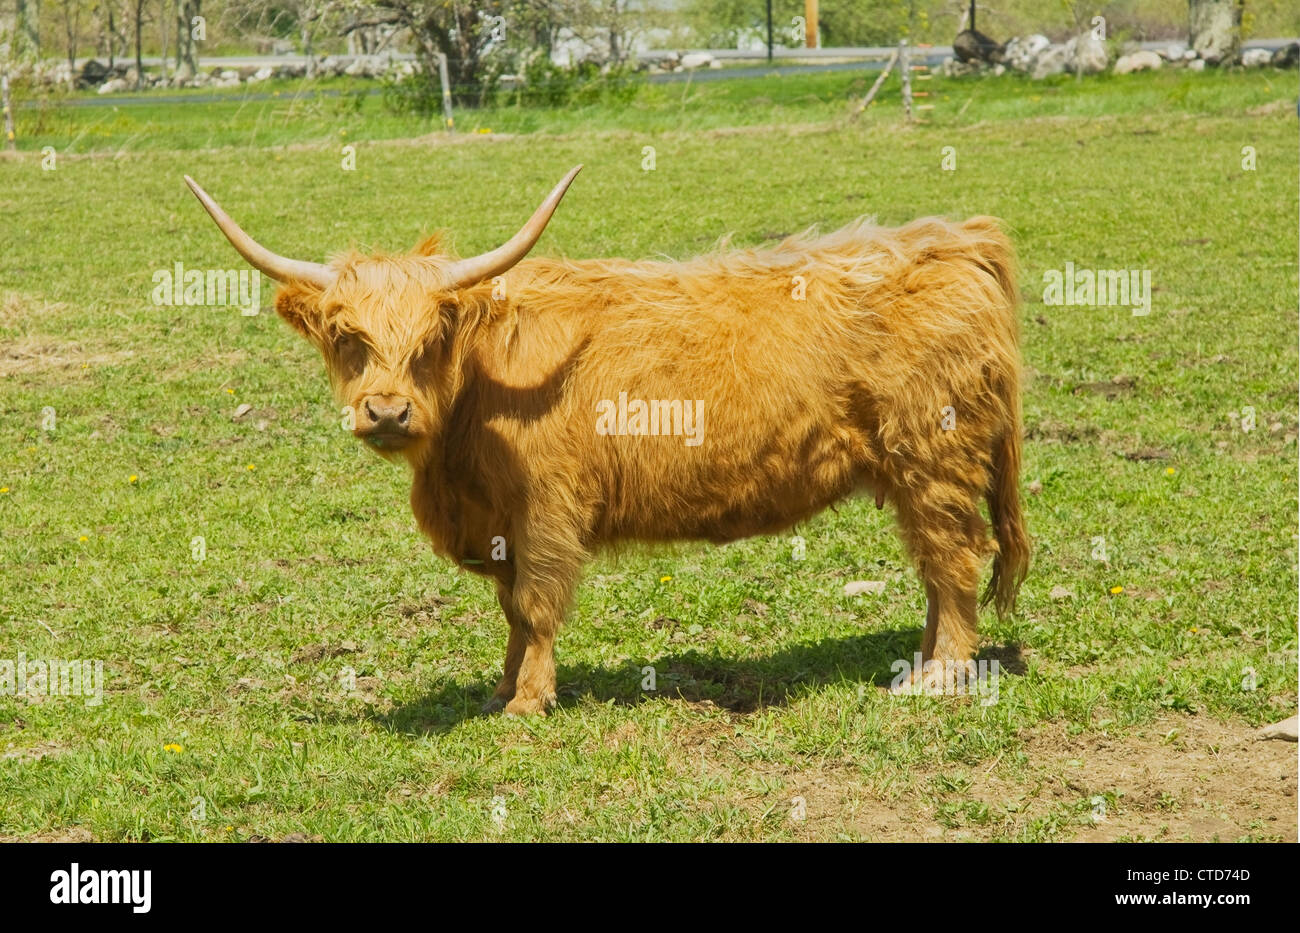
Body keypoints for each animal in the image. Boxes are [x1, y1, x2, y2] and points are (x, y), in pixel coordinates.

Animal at [185, 166, 1029, 714]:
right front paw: (501, 687)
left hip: (934, 459)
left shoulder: (546, 511)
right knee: (936, 570)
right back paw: (919, 662)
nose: (387, 413)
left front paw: (526, 704)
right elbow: (510, 610)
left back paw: (935, 677)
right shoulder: (500, 523)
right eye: (346, 337)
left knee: (954, 561)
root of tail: (953, 238)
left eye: (430, 339)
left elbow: (536, 604)